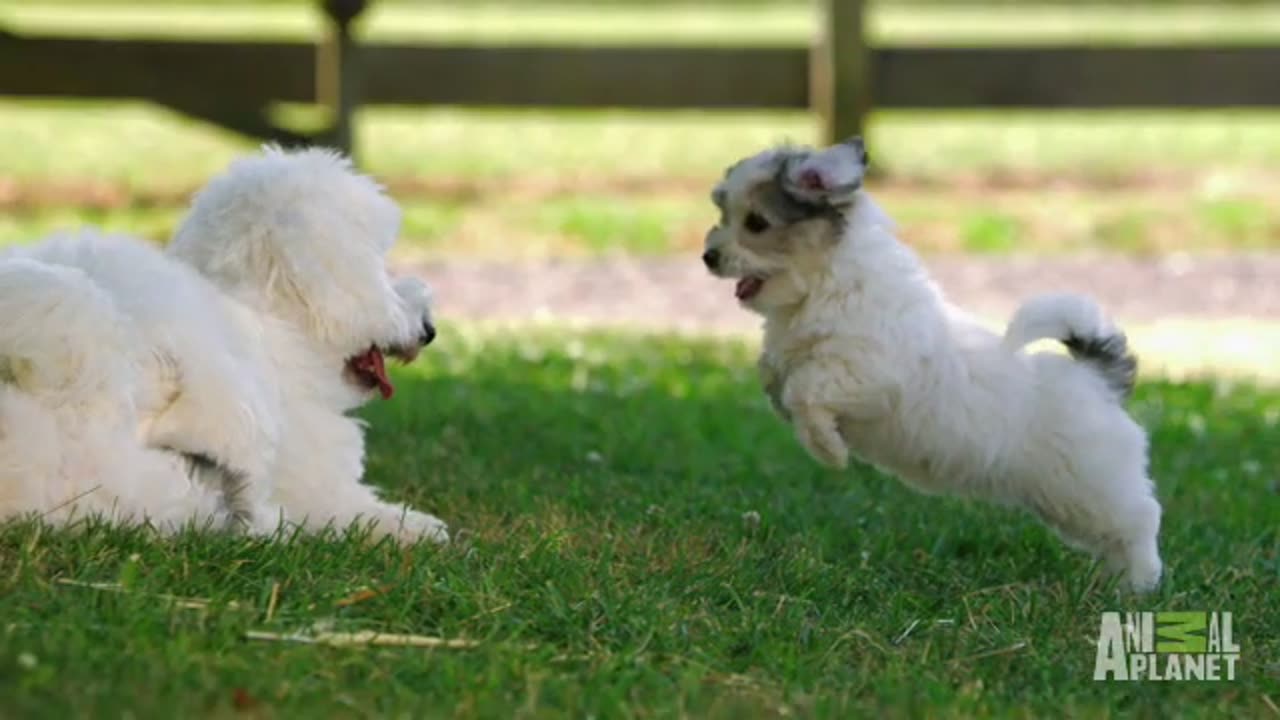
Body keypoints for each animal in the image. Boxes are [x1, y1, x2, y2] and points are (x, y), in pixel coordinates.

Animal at [0, 144, 450, 538]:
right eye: (380, 267)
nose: (429, 328)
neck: (269, 323)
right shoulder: (311, 477)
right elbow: (352, 510)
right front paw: (419, 529)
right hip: (125, 481)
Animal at [706, 139, 1167, 589]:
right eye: (723, 214)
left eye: (756, 223)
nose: (708, 256)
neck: (821, 284)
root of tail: (1097, 379)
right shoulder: (792, 356)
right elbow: (775, 375)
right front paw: (796, 414)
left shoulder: (865, 370)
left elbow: (806, 389)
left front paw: (829, 449)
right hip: (1066, 500)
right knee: (1113, 535)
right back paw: (1115, 580)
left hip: (1092, 484)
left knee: (1140, 519)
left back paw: (1142, 582)